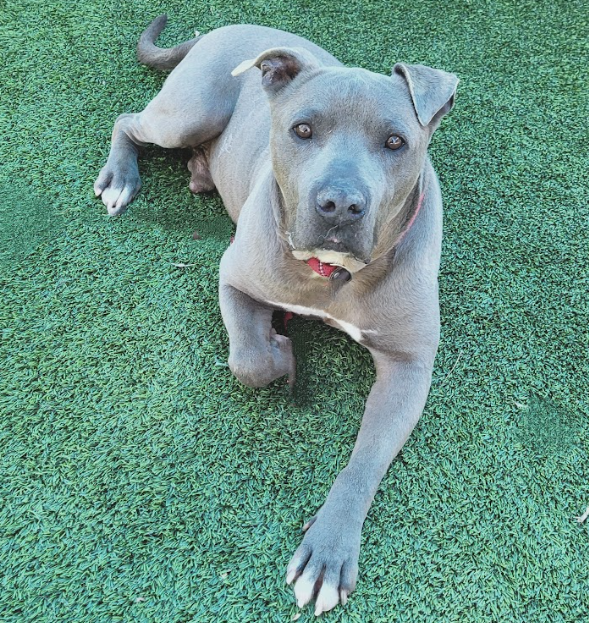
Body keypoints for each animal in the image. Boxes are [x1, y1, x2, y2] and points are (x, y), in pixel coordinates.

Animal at [93, 17, 460, 616]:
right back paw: (121, 176)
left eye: (395, 142)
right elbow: (248, 360)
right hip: (187, 111)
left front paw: (329, 550)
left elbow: (365, 462)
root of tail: (225, 26)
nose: (339, 205)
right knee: (129, 120)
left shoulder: (409, 367)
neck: (332, 274)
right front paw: (281, 350)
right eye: (302, 129)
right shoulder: (236, 279)